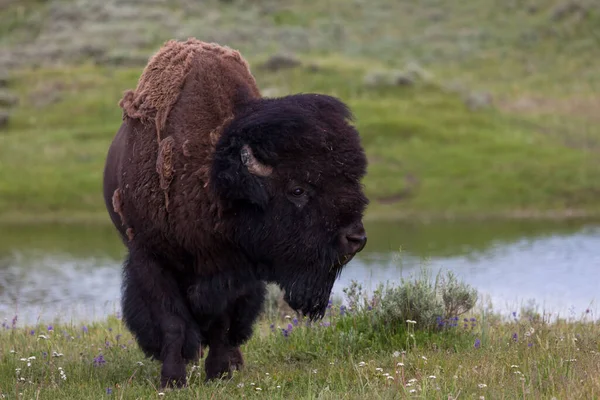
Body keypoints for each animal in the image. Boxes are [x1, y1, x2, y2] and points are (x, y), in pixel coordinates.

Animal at [101, 37, 368, 388]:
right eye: (297, 190)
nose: (356, 238)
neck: (213, 177)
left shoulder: (235, 270)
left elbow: (222, 322)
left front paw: (219, 372)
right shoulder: (150, 258)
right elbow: (172, 321)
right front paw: (172, 379)